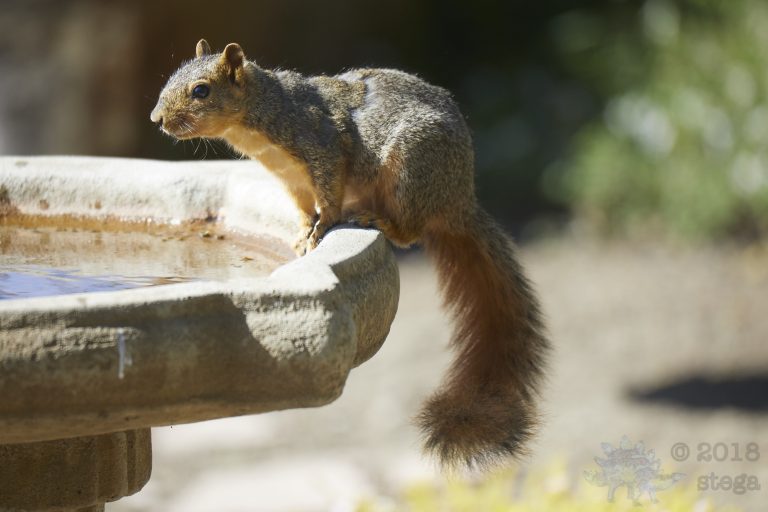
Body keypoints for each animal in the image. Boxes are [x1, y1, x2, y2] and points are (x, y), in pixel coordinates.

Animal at [151, 39, 549, 469]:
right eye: (172, 76)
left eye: (201, 91)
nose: (157, 119)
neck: (264, 116)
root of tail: (457, 202)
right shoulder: (291, 179)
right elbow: (304, 207)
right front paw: (302, 235)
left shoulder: (323, 145)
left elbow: (329, 195)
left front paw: (323, 227)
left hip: (409, 171)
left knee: (409, 231)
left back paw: (376, 220)